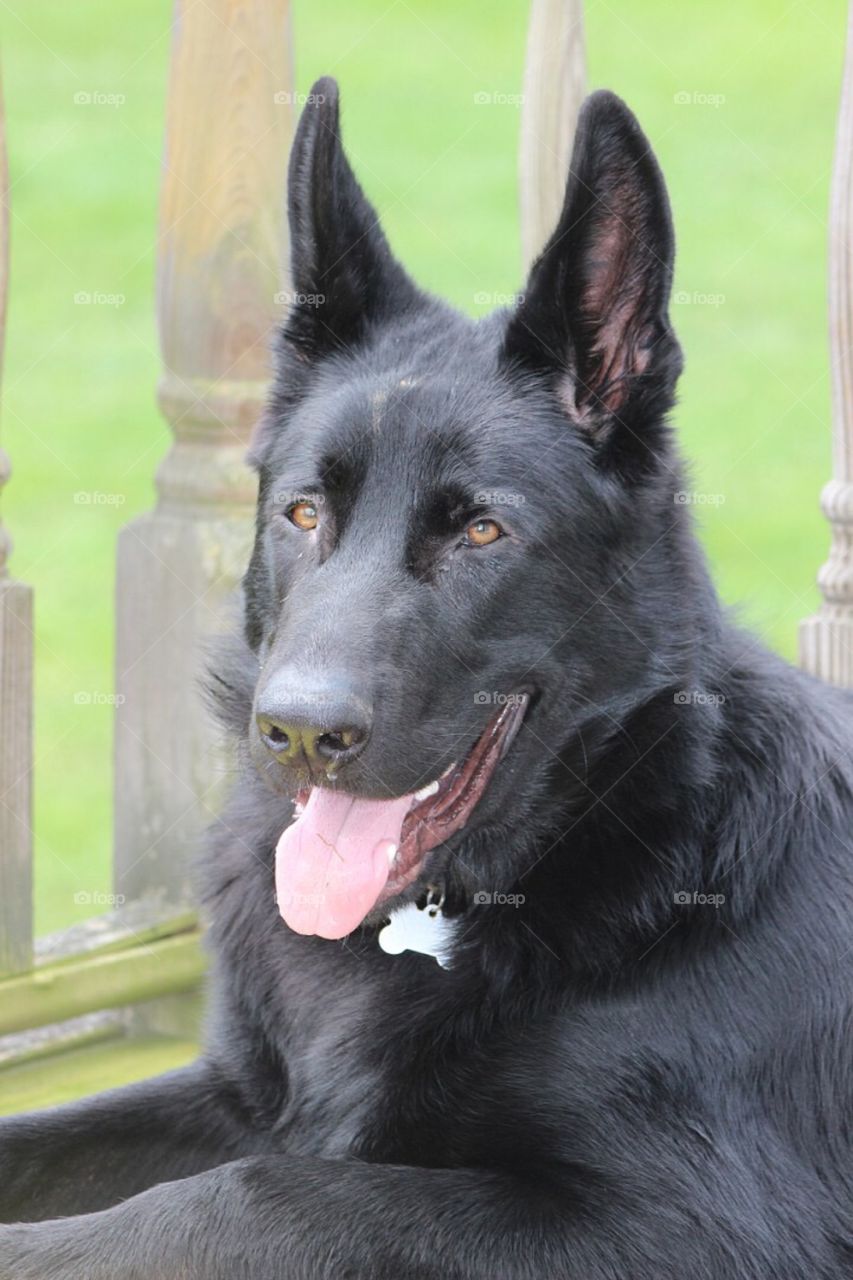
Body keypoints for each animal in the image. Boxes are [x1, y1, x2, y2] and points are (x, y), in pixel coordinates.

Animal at [1, 77, 850, 1280]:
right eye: (303, 512)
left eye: (482, 531)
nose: (300, 733)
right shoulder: (242, 1093)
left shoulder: (689, 1224)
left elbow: (248, 1194)